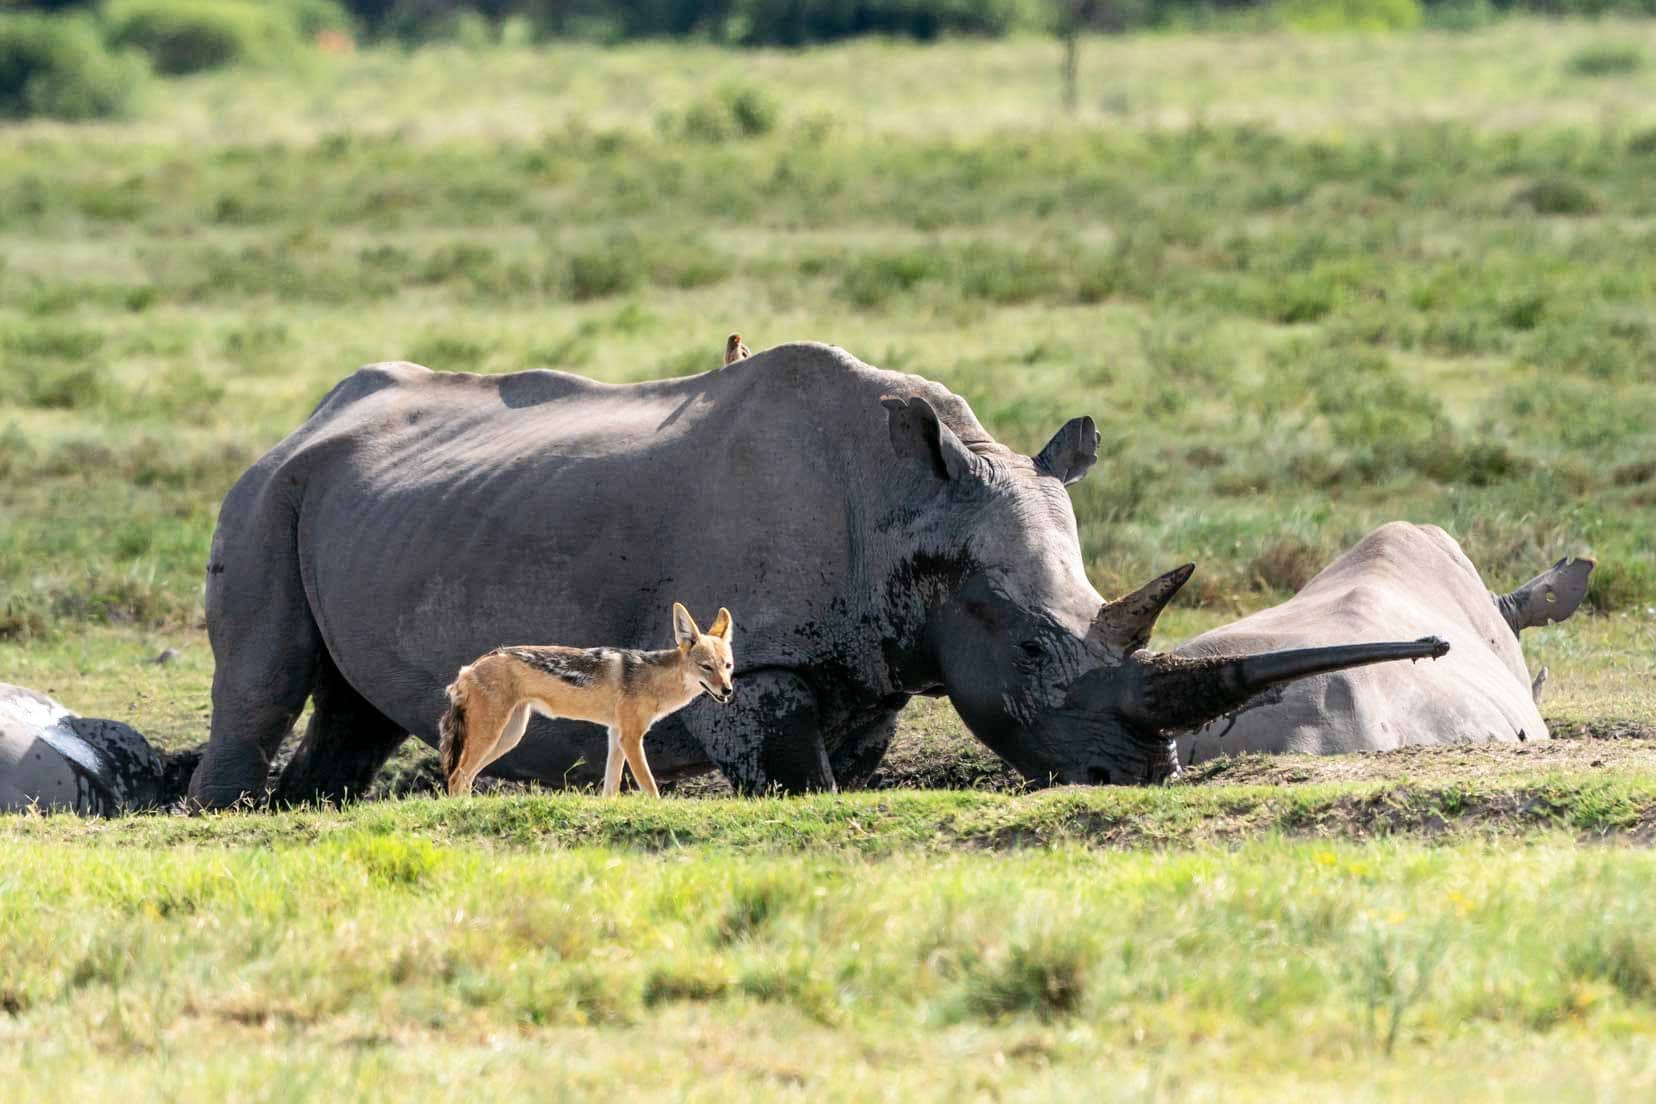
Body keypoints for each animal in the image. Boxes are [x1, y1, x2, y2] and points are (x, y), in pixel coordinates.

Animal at [187, 340, 1444, 807]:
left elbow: (855, 753)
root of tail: (308, 419)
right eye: (1037, 649)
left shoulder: (875, 657)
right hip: (266, 491)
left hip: (369, 507)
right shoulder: (763, 659)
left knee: (354, 708)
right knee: (263, 675)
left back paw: (306, 809)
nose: (1140, 775)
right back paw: (226, 810)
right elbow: (797, 773)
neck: (912, 511)